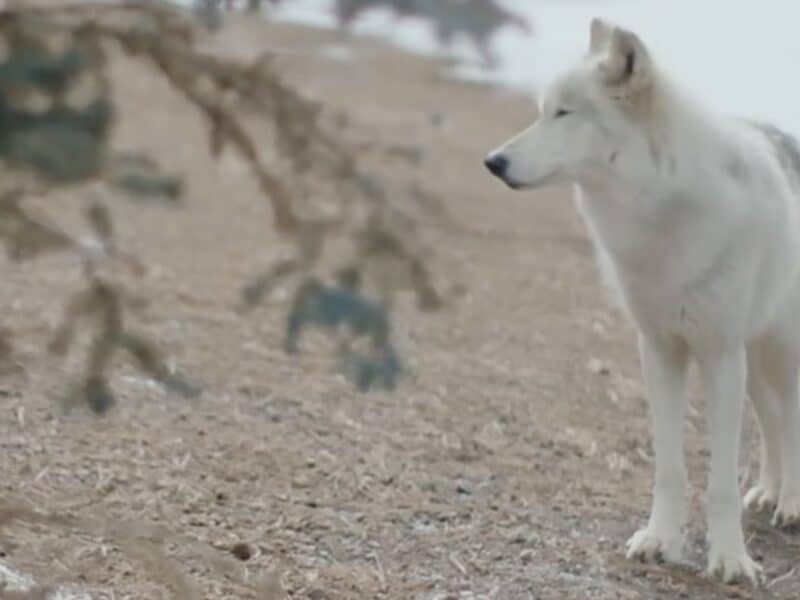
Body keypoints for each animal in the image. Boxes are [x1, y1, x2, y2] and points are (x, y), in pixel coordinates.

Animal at [485, 19, 800, 584]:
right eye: (542, 110)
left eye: (565, 113)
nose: (492, 162)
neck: (662, 209)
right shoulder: (660, 351)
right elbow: (670, 468)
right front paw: (660, 540)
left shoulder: (719, 356)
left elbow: (720, 482)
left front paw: (730, 560)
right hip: (754, 362)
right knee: (772, 423)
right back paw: (767, 492)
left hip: (780, 354)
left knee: (794, 420)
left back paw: (790, 504)